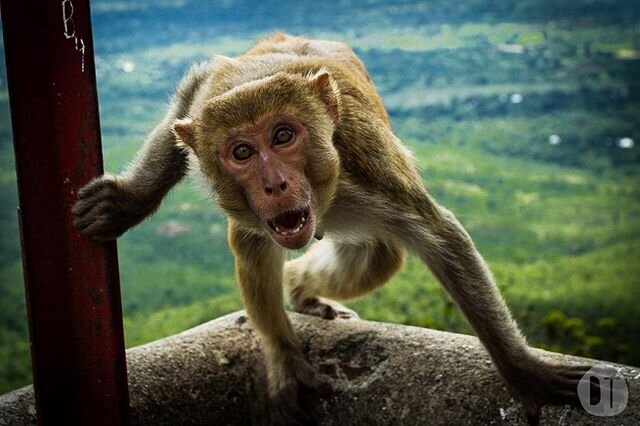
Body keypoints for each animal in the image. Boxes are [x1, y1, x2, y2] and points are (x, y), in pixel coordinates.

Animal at [74, 34, 596, 426]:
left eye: (283, 136)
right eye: (241, 152)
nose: (275, 183)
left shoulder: (372, 170)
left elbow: (443, 239)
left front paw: (526, 373)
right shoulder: (204, 106)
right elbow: (191, 96)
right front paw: (130, 201)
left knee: (380, 256)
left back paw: (300, 288)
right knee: (254, 242)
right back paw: (292, 301)